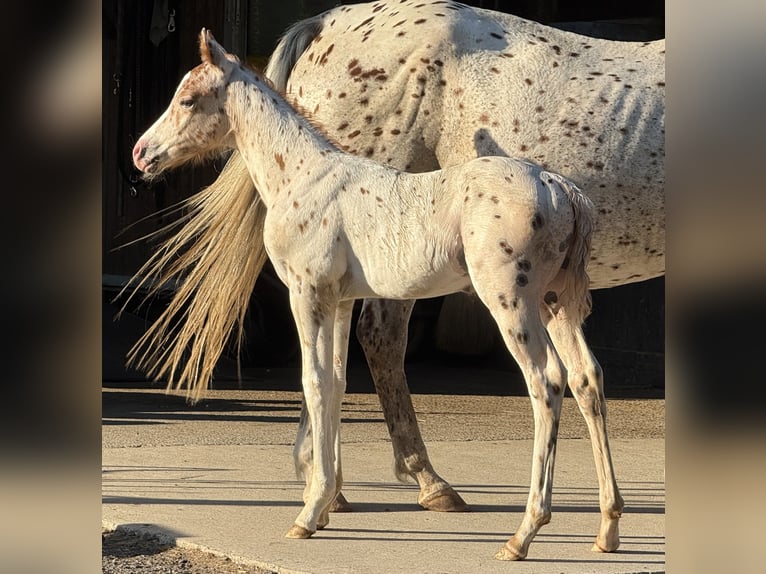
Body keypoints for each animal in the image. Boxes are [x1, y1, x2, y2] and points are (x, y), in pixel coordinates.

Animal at [123, 0, 662, 526]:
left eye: (187, 99)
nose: (141, 153)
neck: (308, 172)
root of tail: (559, 188)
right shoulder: (337, 298)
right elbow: (334, 381)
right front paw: (322, 494)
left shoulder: (308, 293)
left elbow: (315, 381)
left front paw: (313, 507)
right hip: (551, 303)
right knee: (579, 377)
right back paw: (597, 524)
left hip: (513, 302)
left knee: (547, 383)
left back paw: (517, 526)